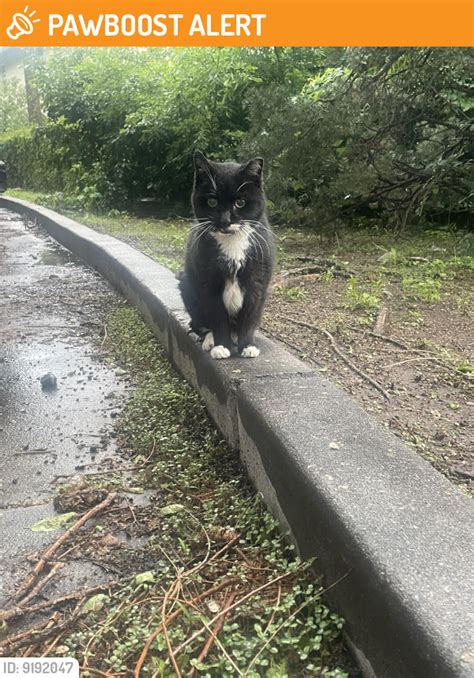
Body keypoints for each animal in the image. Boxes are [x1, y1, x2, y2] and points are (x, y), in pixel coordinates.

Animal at [178, 149, 274, 362]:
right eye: (212, 201)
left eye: (240, 202)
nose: (225, 221)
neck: (233, 241)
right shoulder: (208, 281)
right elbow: (217, 315)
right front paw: (221, 346)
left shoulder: (257, 279)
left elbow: (250, 313)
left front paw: (248, 345)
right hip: (187, 286)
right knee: (197, 323)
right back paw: (209, 339)